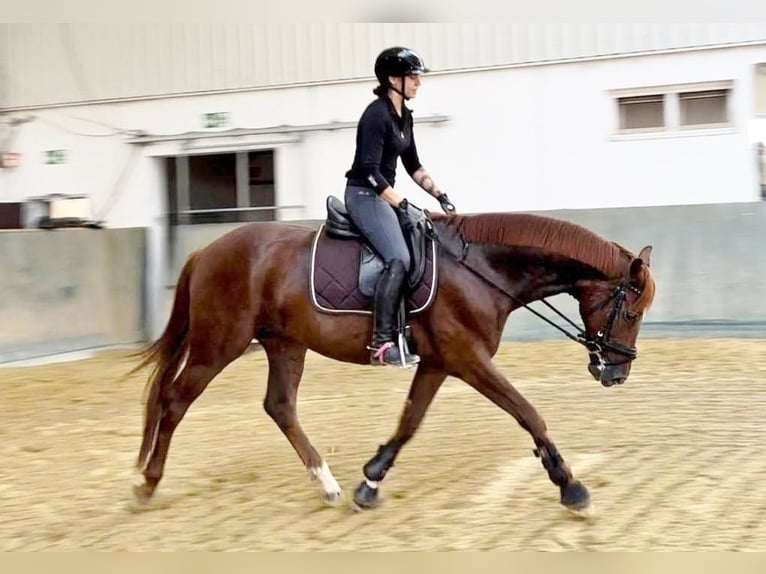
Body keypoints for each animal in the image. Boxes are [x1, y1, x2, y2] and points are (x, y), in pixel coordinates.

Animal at [134, 209, 660, 516]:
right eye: (632, 313)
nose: (616, 373)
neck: (482, 268)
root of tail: (207, 250)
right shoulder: (467, 358)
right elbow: (528, 412)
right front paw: (570, 486)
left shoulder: (440, 362)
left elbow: (409, 421)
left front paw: (370, 480)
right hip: (219, 343)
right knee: (175, 401)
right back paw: (147, 485)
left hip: (284, 343)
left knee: (279, 406)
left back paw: (328, 486)